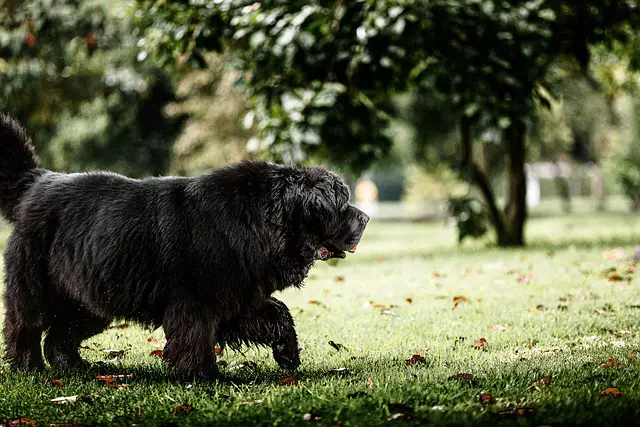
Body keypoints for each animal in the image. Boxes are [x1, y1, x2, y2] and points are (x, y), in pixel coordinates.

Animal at [0, 113, 370, 378]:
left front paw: (288, 354)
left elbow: (277, 313)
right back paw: (28, 367)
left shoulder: (238, 294)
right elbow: (195, 336)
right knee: (26, 326)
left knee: (60, 334)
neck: (255, 221)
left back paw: (75, 367)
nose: (365, 218)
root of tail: (37, 181)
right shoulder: (194, 300)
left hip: (91, 297)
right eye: (341, 204)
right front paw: (203, 375)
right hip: (36, 286)